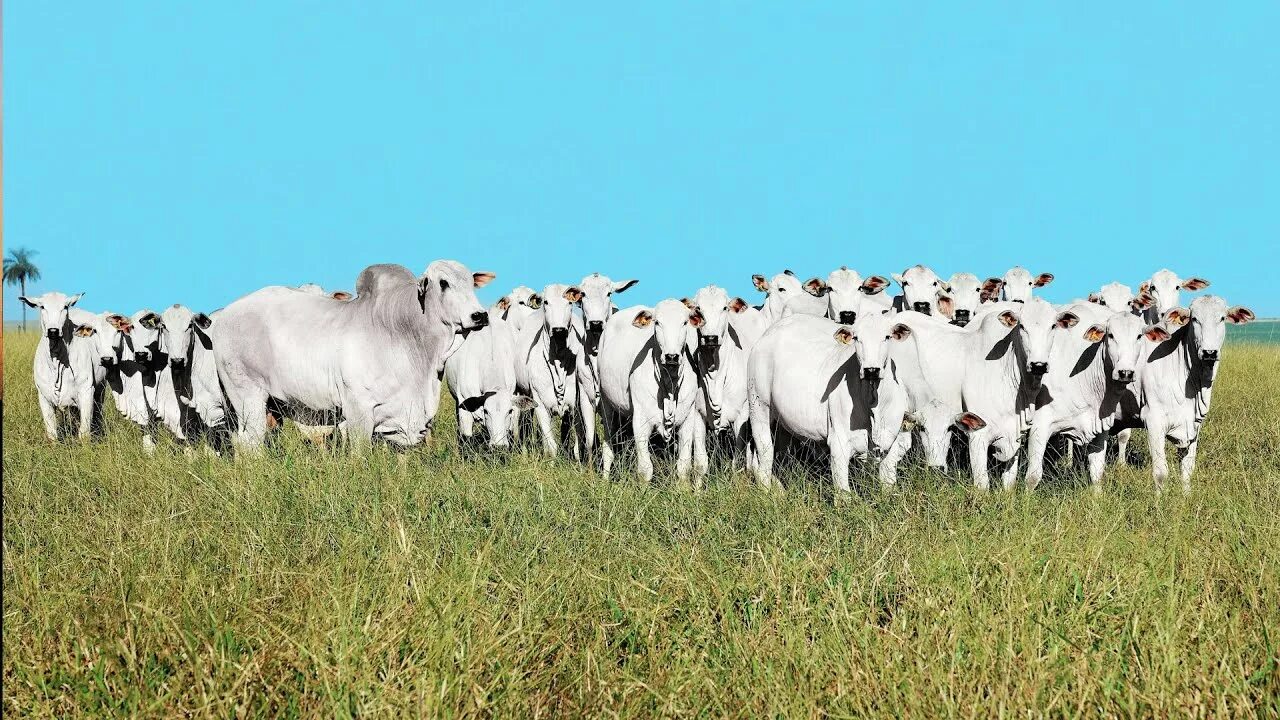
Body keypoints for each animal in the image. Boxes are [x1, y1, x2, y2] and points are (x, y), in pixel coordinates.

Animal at [212, 257, 491, 448]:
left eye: (472, 283)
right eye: (444, 283)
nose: (480, 315)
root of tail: (225, 316)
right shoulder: (358, 410)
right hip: (247, 395)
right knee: (250, 442)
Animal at [514, 281, 586, 453]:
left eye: (569, 302)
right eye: (546, 302)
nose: (559, 330)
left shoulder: (575, 406)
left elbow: (577, 447)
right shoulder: (540, 404)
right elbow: (551, 446)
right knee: (525, 424)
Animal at [596, 297, 701, 481]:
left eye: (684, 322)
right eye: (657, 322)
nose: (672, 356)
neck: (669, 383)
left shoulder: (687, 420)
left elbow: (683, 466)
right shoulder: (641, 422)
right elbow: (645, 468)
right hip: (605, 403)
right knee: (608, 448)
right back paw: (605, 480)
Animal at [1141, 294, 1249, 489]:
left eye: (1222, 318)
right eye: (1194, 319)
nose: (1209, 352)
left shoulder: (1193, 426)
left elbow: (1187, 470)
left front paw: (1186, 495)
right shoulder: (1153, 421)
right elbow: (1160, 473)